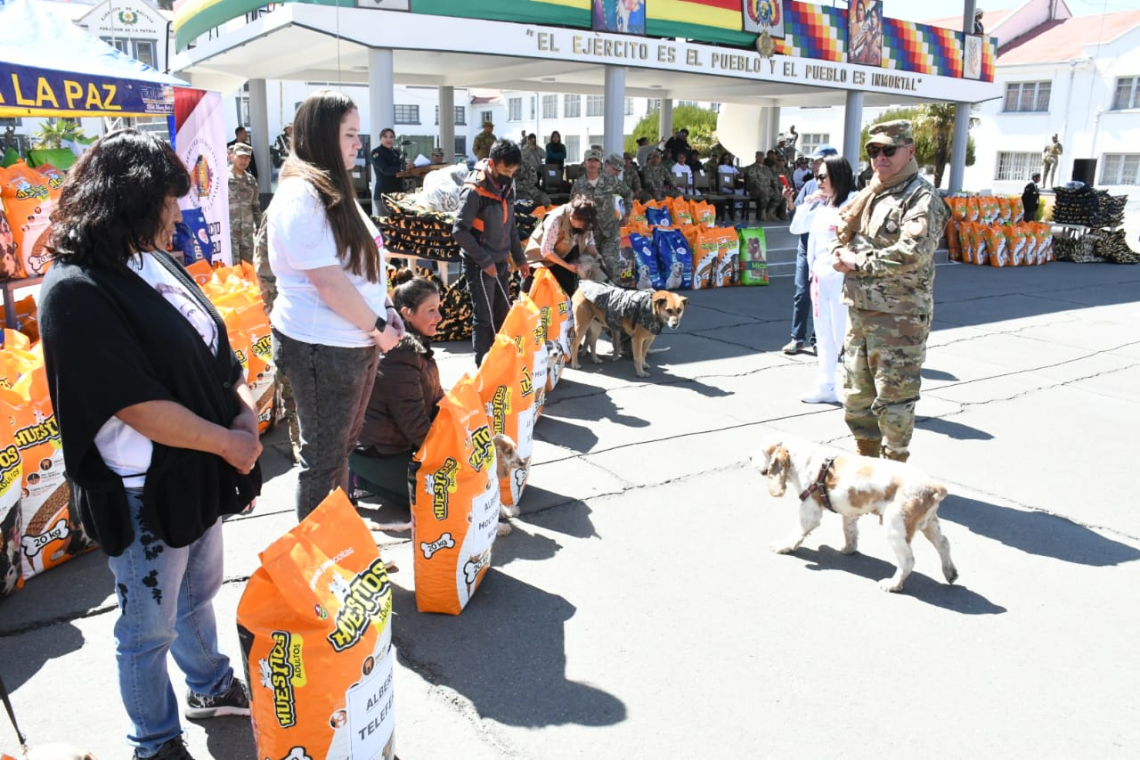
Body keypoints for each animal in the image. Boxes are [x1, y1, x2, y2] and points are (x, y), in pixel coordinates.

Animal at [752, 437, 957, 592]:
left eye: (761, 451)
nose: (749, 457)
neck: (803, 458)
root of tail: (934, 487)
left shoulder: (810, 512)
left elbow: (796, 533)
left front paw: (783, 546)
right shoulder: (849, 512)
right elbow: (850, 531)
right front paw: (848, 549)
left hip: (895, 528)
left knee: (908, 561)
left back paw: (893, 585)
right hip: (930, 523)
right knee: (944, 544)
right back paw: (950, 573)